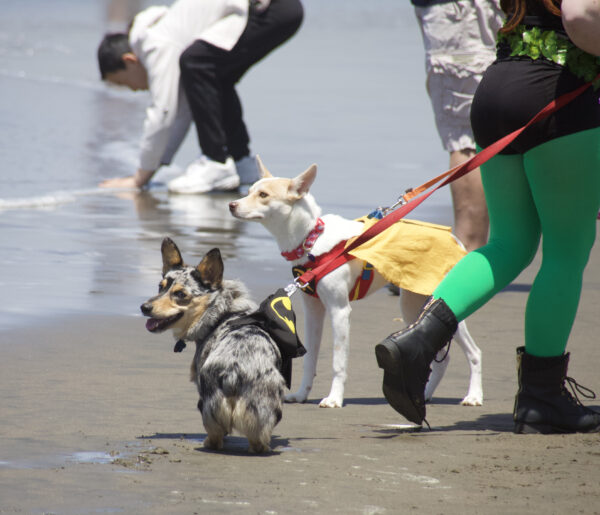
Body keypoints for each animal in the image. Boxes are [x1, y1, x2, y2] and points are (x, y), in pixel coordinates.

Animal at [227, 159, 480, 410]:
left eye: (263, 195)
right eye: (249, 191)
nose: (231, 205)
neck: (311, 239)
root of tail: (453, 237)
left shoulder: (339, 311)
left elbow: (338, 362)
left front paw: (334, 398)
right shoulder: (313, 312)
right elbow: (309, 359)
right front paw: (301, 394)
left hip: (445, 306)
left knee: (474, 353)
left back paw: (474, 396)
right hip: (412, 306)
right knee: (441, 358)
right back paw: (426, 395)